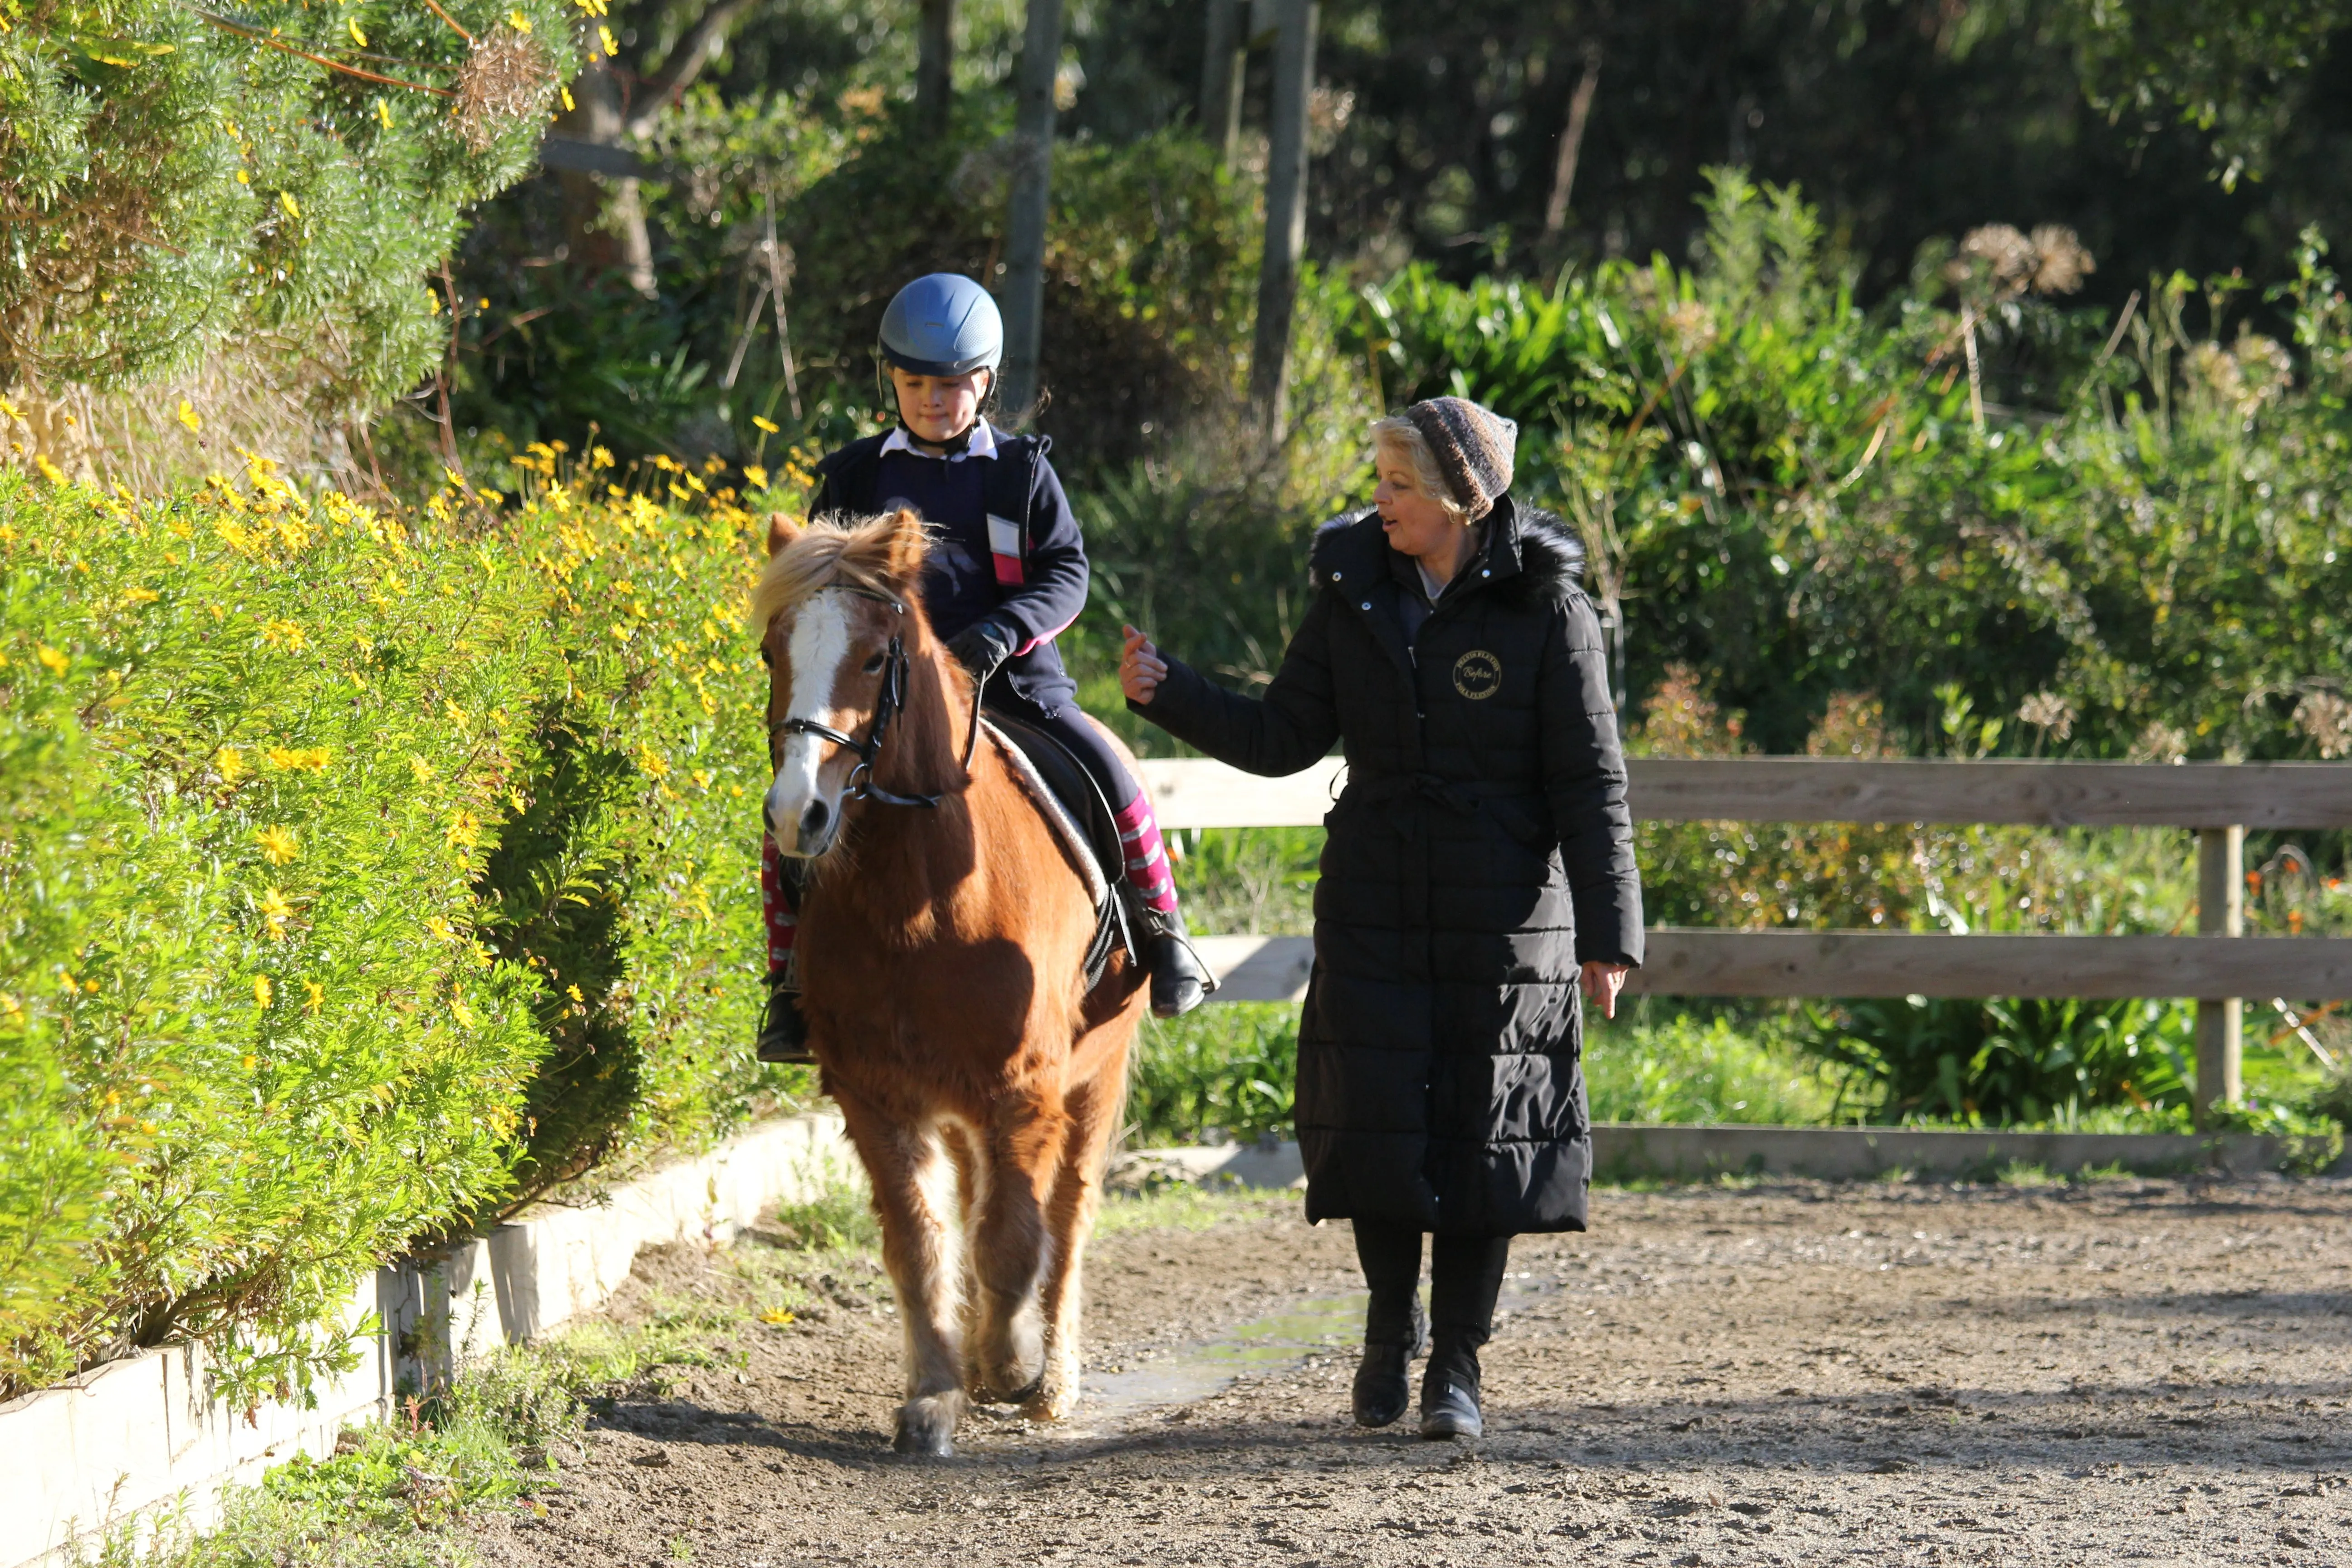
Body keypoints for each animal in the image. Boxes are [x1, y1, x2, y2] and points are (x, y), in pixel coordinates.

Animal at [757, 510, 1152, 1457]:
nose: (796, 814)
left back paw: (1051, 1377)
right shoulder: (874, 1095)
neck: (920, 898)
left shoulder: (1026, 1088)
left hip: (1092, 1080)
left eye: (875, 658)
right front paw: (936, 1394)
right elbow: (922, 1241)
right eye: (770, 651)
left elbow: (1014, 1238)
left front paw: (1010, 1367)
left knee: (1067, 1215)